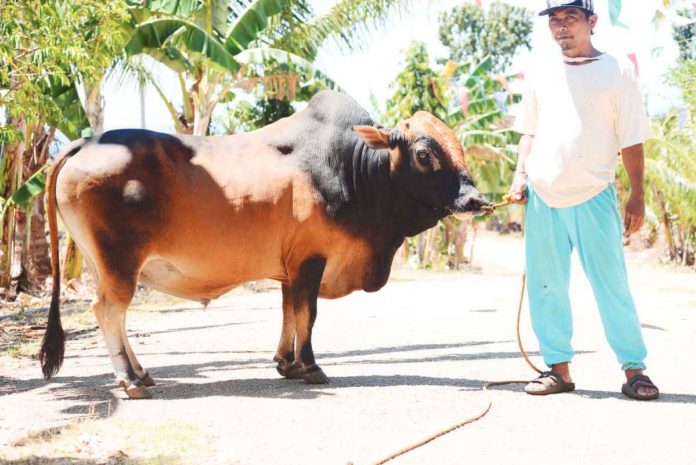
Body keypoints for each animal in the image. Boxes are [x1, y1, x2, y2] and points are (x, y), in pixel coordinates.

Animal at [39, 90, 490, 398]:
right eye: (424, 154)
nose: (475, 200)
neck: (354, 169)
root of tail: (84, 143)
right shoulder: (311, 259)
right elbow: (307, 315)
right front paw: (310, 367)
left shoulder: (290, 267)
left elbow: (289, 313)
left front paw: (286, 363)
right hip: (120, 263)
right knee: (108, 311)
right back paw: (129, 380)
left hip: (101, 263)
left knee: (114, 315)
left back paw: (141, 373)